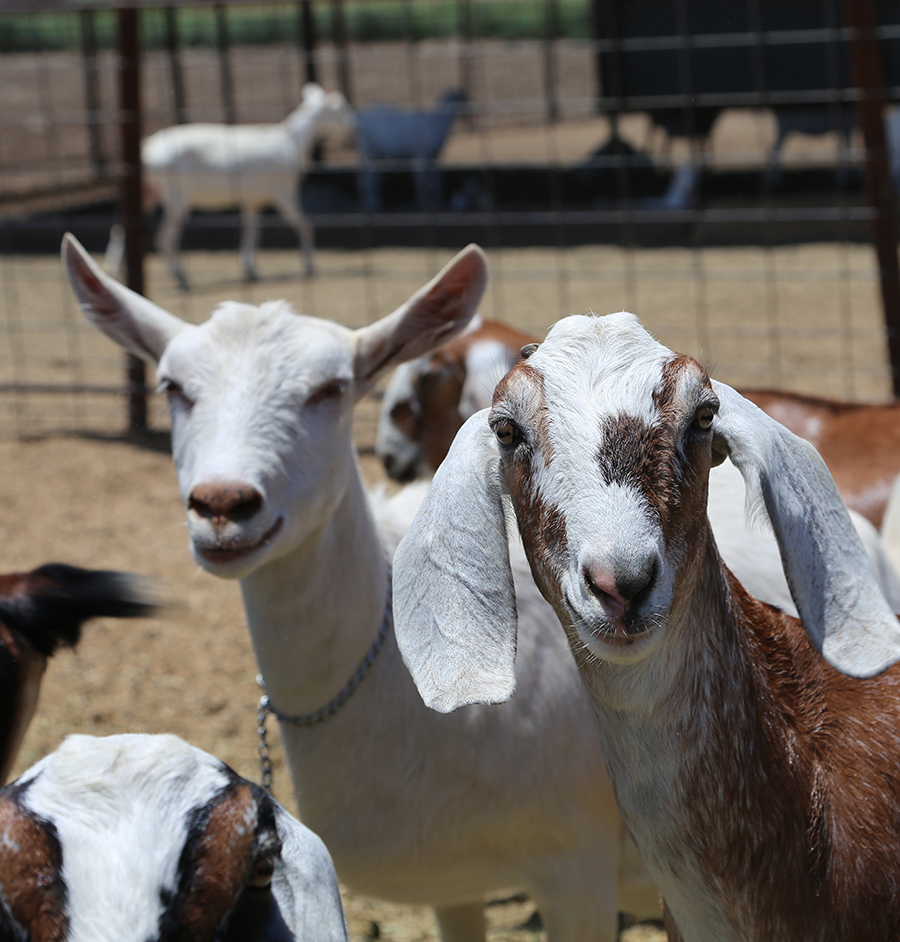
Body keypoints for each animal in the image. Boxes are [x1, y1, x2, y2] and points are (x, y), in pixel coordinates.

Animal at [142, 83, 355, 290]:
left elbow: (251, 231)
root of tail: (148, 151)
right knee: (164, 239)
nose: (353, 128)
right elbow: (304, 223)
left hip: (151, 196)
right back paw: (182, 278)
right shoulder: (283, 192)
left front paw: (252, 271)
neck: (291, 140)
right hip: (176, 198)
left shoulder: (252, 200)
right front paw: (309, 266)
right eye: (341, 107)